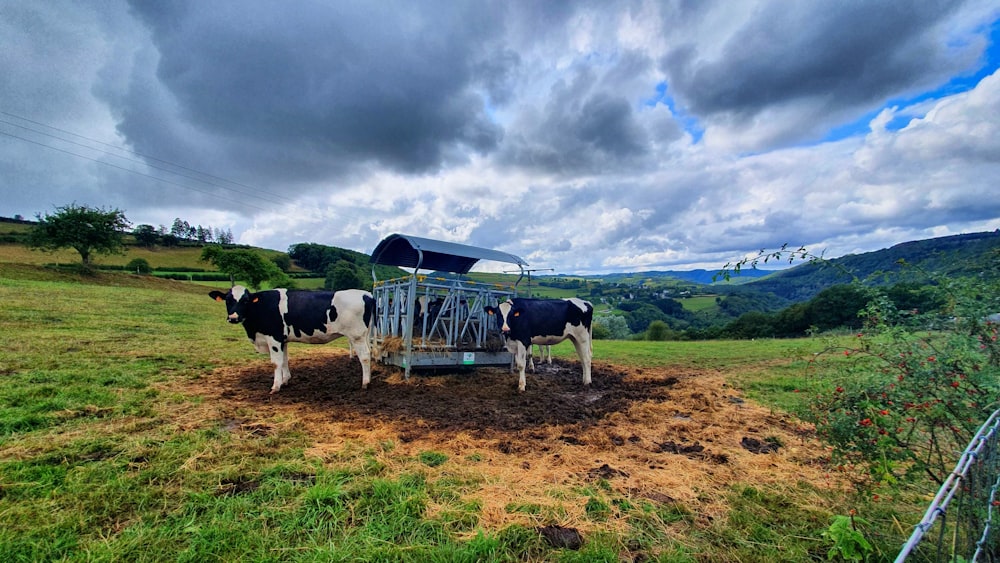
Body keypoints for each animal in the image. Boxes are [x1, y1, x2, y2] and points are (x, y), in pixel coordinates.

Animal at [208, 284, 376, 394]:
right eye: (227, 300)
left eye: (245, 300)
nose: (233, 317)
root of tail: (367, 294)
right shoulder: (283, 340)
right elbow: (284, 360)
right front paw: (285, 380)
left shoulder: (274, 338)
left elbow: (276, 363)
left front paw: (275, 386)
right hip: (364, 335)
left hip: (356, 335)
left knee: (365, 356)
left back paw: (365, 383)